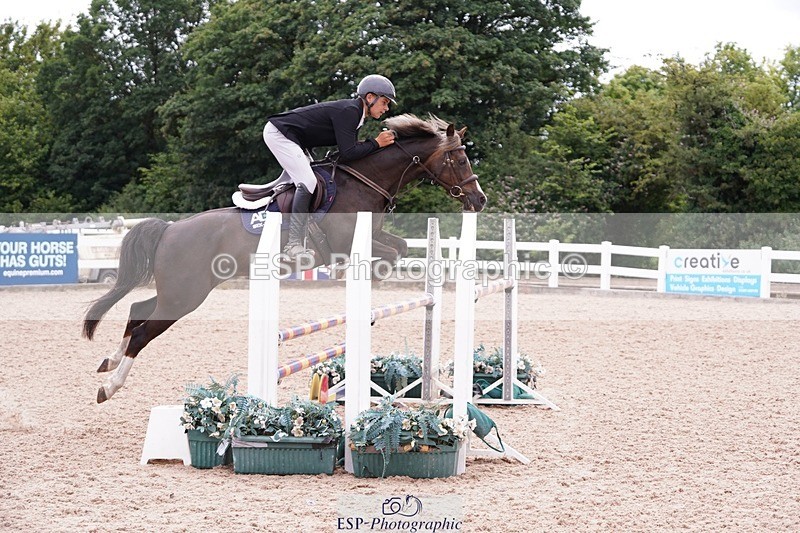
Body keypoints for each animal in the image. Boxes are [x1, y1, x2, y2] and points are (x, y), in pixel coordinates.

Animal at [83, 114, 486, 403]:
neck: (363, 180)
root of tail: (169, 230)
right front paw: (367, 292)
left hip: (181, 291)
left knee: (137, 310)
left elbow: (400, 248)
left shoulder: (374, 236)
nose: (479, 200)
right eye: (458, 157)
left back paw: (109, 361)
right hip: (186, 295)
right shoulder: (349, 242)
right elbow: (387, 255)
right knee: (143, 331)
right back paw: (110, 386)